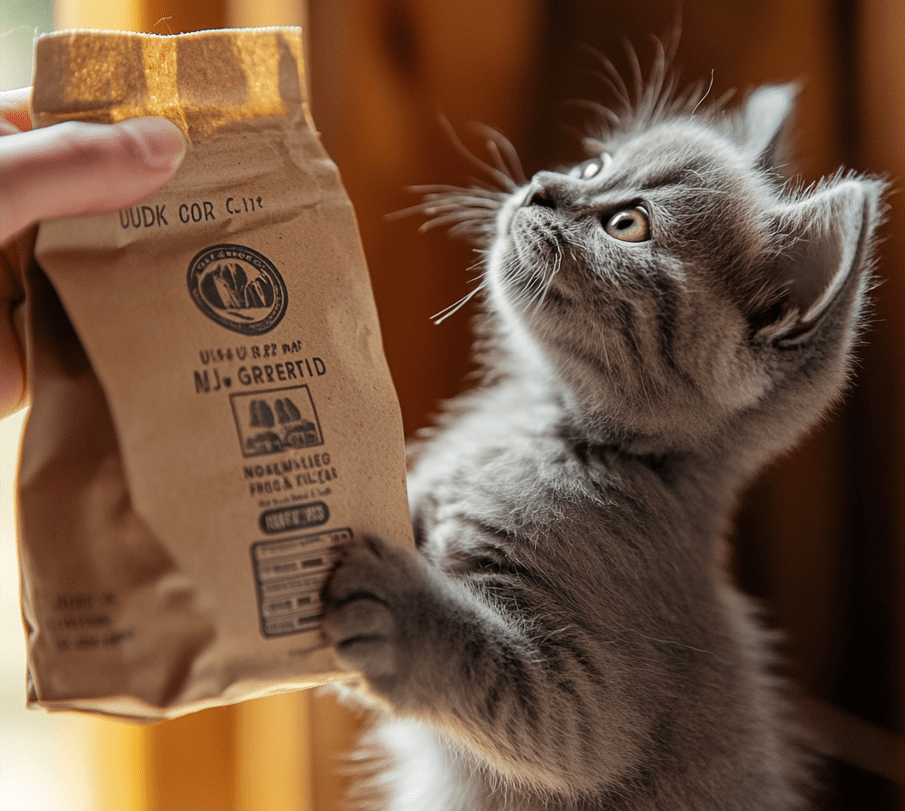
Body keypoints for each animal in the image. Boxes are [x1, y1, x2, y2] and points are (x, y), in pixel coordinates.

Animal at [316, 65, 884, 811]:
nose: (542, 184)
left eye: (627, 224)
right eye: (593, 165)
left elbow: (533, 704)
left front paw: (399, 610)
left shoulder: (595, 699)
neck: (548, 430)